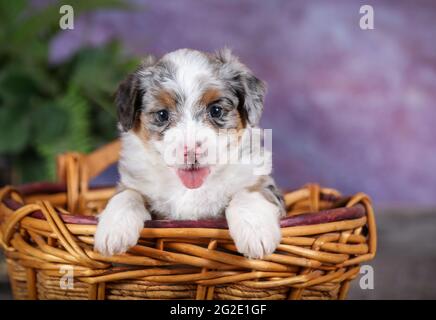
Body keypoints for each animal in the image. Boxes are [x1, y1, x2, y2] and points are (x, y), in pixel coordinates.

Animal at [94, 49, 286, 260]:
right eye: (162, 115)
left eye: (216, 110)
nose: (192, 151)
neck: (190, 189)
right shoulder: (134, 183)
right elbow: (127, 195)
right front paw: (113, 231)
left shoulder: (261, 181)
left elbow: (248, 192)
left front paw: (256, 233)